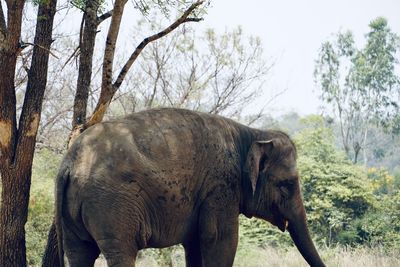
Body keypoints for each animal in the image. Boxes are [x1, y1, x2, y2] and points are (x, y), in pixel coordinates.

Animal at [54, 108, 324, 266]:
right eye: (287, 184)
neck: (250, 132)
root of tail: (69, 162)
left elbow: (195, 244)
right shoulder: (220, 188)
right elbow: (221, 239)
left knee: (78, 252)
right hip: (112, 206)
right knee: (121, 252)